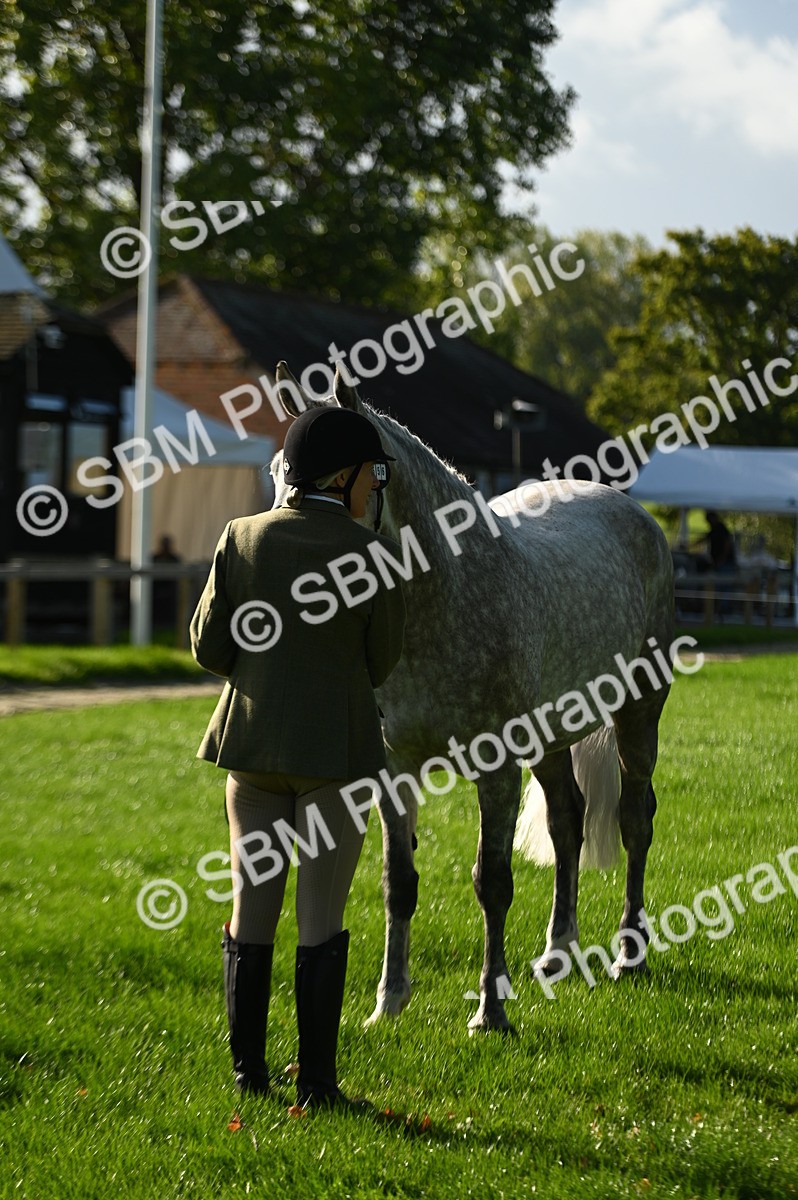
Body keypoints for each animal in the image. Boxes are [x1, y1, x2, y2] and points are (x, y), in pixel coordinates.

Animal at [270, 361, 675, 1033]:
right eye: (277, 472)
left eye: (332, 484)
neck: (444, 601)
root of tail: (636, 516)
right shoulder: (395, 770)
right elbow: (398, 882)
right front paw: (388, 1002)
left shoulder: (497, 768)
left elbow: (493, 882)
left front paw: (491, 1010)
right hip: (551, 739)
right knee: (568, 823)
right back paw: (557, 954)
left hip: (637, 715)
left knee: (633, 822)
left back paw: (628, 954)